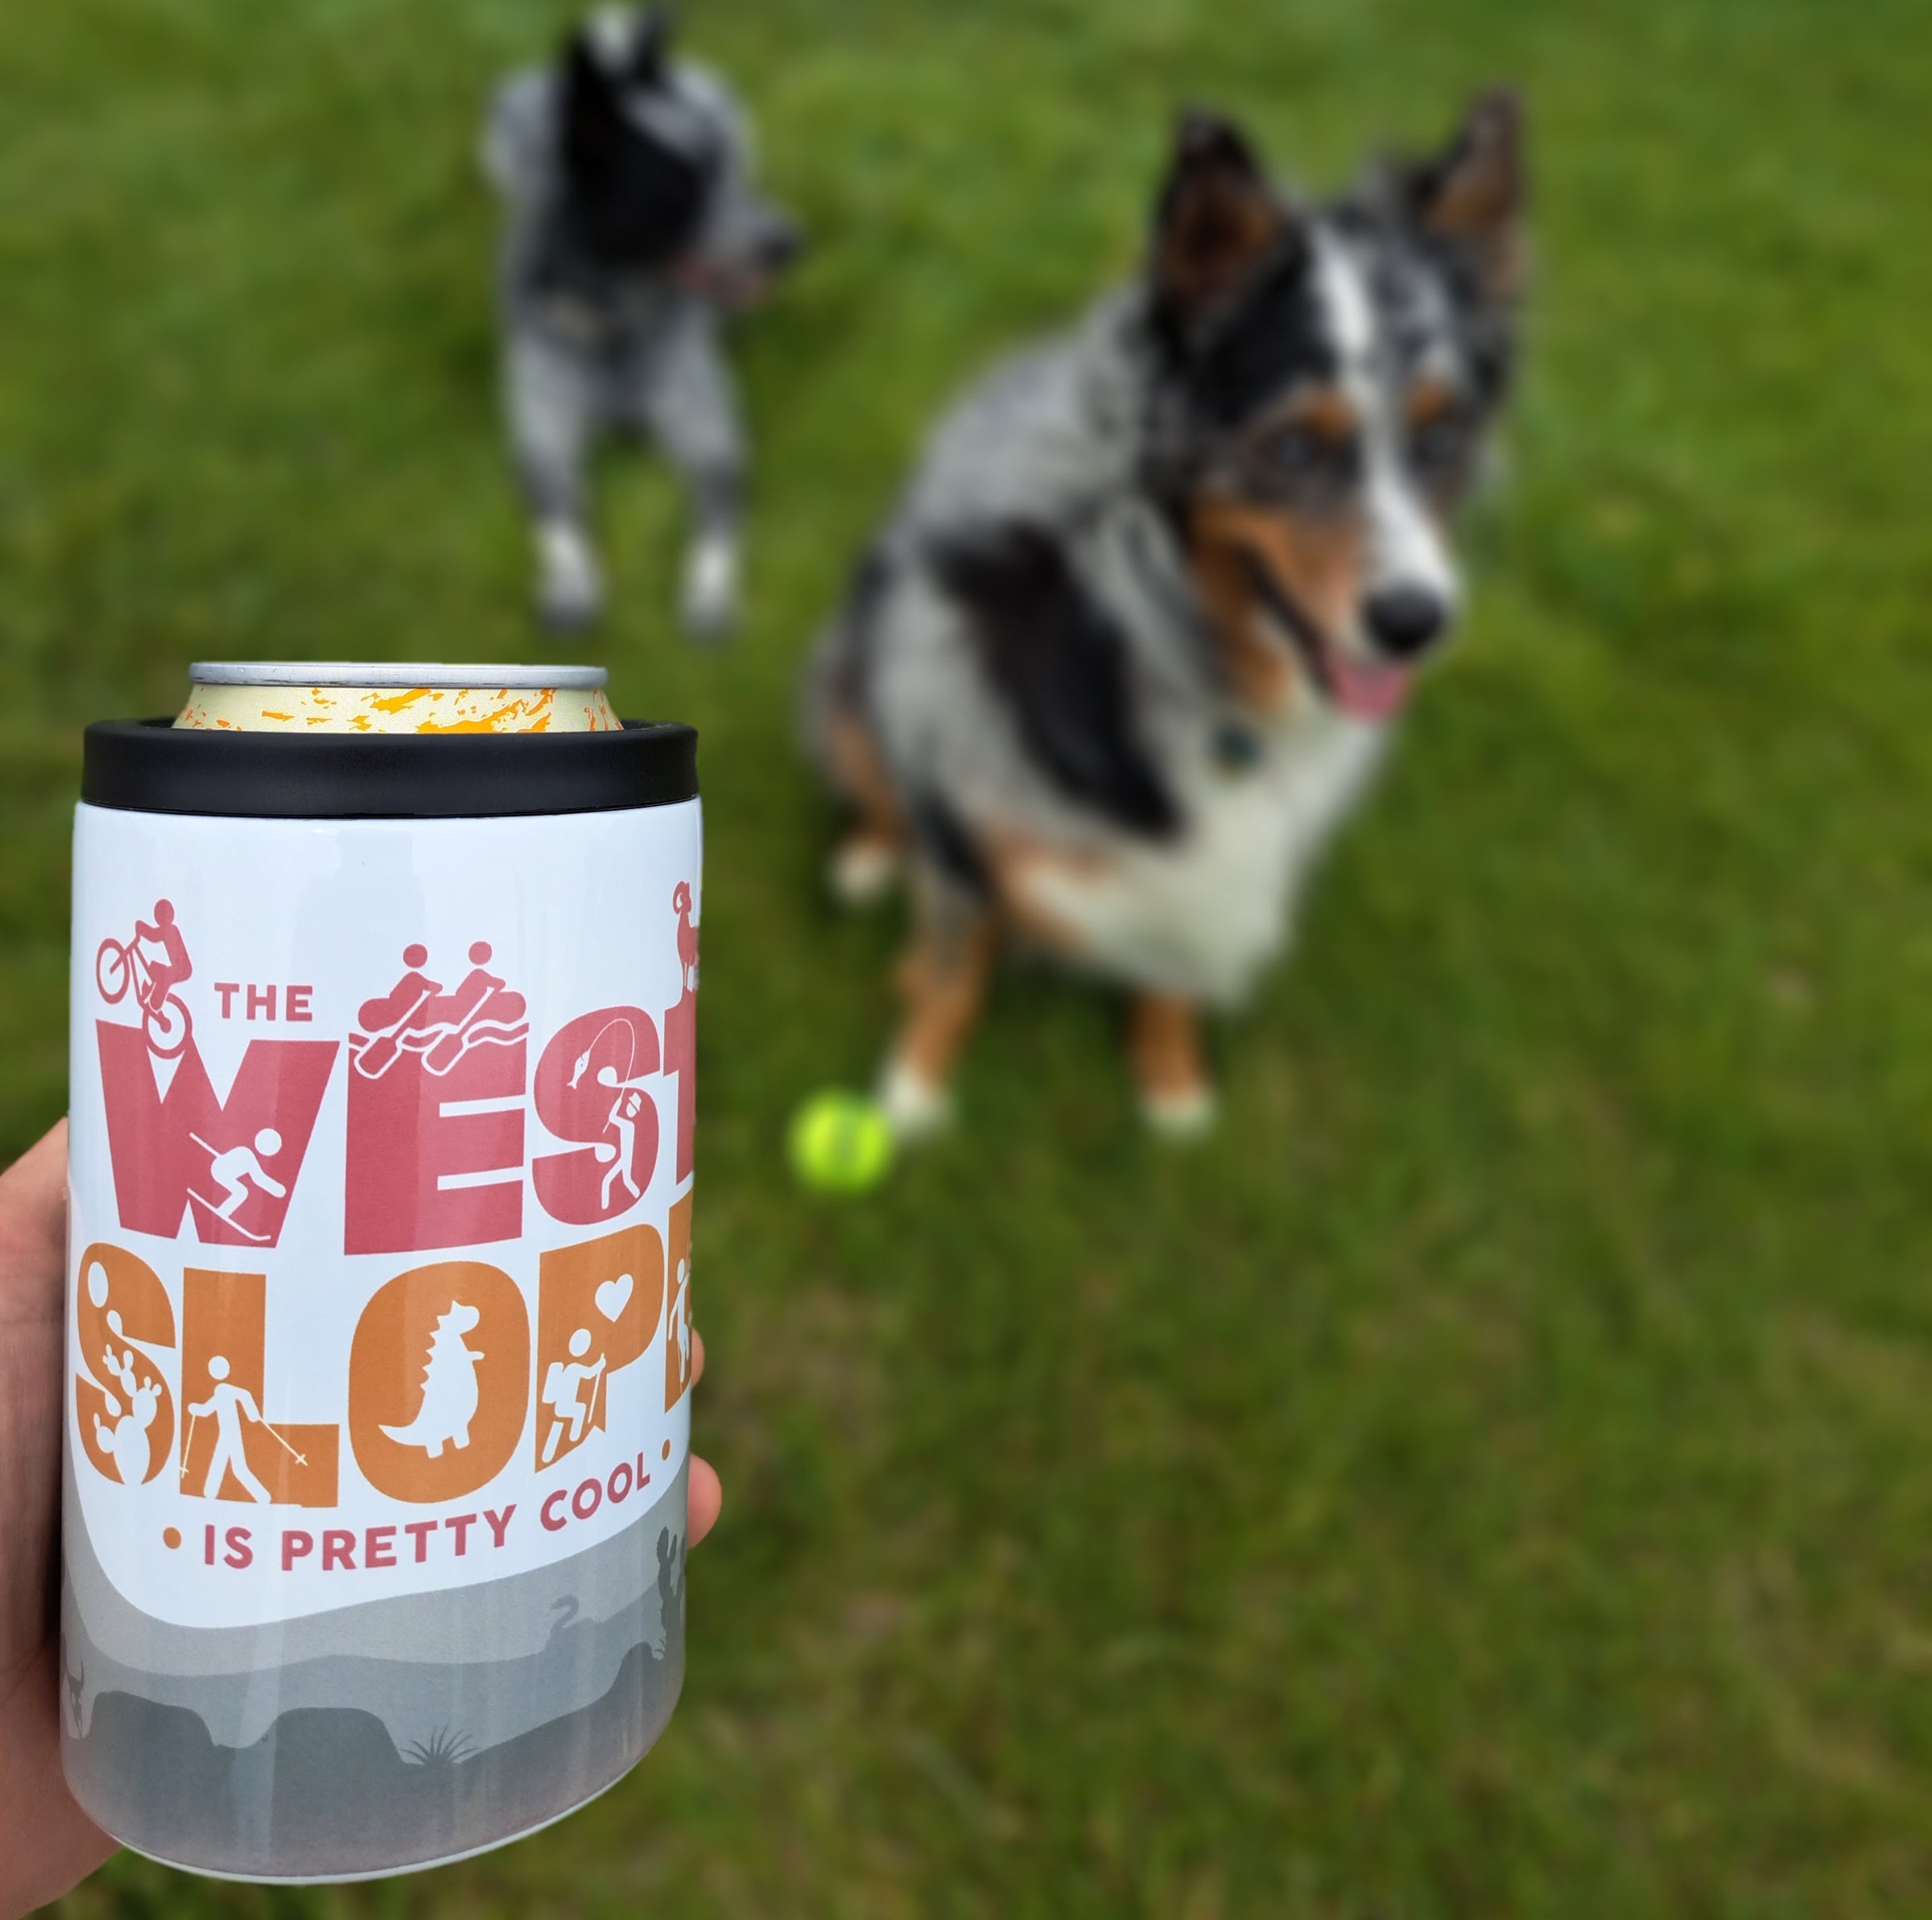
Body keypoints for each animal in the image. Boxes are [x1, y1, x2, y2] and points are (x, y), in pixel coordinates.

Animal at [490, 9, 807, 637]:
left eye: (719, 171)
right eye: (676, 193)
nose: (788, 243)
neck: (618, 324)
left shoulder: (712, 439)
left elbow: (715, 520)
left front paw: (709, 596)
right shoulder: (543, 436)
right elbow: (558, 513)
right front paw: (571, 585)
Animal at [803, 93, 1522, 1135]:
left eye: (1442, 436)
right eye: (1293, 447)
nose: (1415, 621)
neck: (1178, 640)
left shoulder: (1216, 864)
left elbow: (1177, 965)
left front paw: (1173, 1087)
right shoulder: (962, 788)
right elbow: (950, 966)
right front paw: (911, 1094)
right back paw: (867, 859)